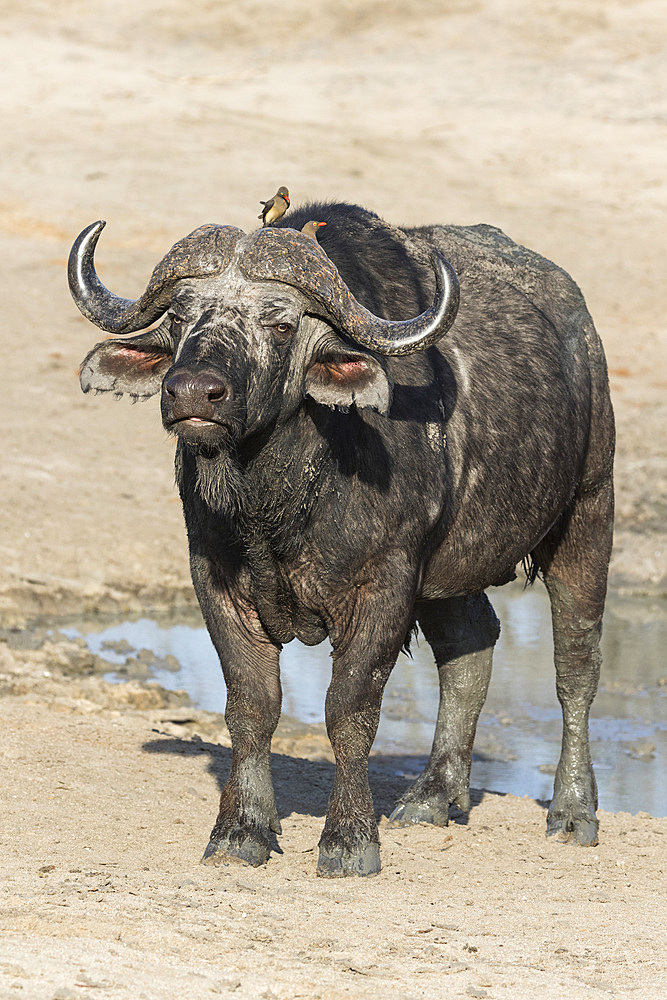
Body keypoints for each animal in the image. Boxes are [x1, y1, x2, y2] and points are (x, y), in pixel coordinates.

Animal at [69, 201, 616, 876]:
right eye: (179, 317)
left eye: (280, 325)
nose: (193, 392)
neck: (279, 500)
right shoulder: (216, 581)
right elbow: (251, 705)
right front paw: (241, 830)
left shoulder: (384, 586)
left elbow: (349, 710)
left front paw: (349, 840)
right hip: (447, 572)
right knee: (471, 644)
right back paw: (433, 796)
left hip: (588, 512)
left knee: (576, 666)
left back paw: (573, 812)